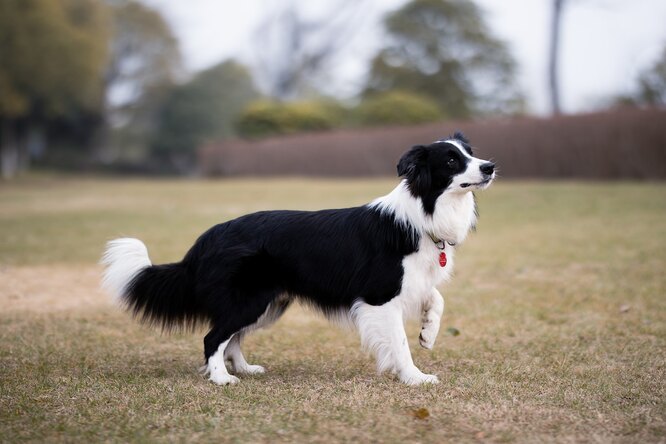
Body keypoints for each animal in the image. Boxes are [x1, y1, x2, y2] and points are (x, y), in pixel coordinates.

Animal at [100, 132, 492, 386]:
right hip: (250, 299)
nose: (489, 166)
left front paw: (428, 333)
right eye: (451, 160)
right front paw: (414, 376)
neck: (423, 212)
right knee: (214, 337)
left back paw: (243, 369)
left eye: (471, 152)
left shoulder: (412, 281)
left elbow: (436, 298)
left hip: (267, 303)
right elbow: (399, 342)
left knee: (233, 337)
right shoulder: (381, 296)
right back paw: (221, 379)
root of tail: (206, 239)